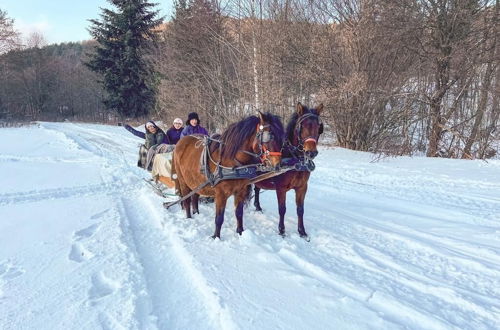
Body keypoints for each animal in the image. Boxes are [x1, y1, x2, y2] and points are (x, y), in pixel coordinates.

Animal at [254, 102, 324, 238]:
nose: (311, 152)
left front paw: (302, 232)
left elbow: (300, 210)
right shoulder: (281, 188)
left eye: (319, 127)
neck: (295, 159)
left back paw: (258, 207)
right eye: (302, 126)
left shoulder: (302, 187)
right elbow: (282, 209)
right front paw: (281, 230)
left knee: (256, 188)